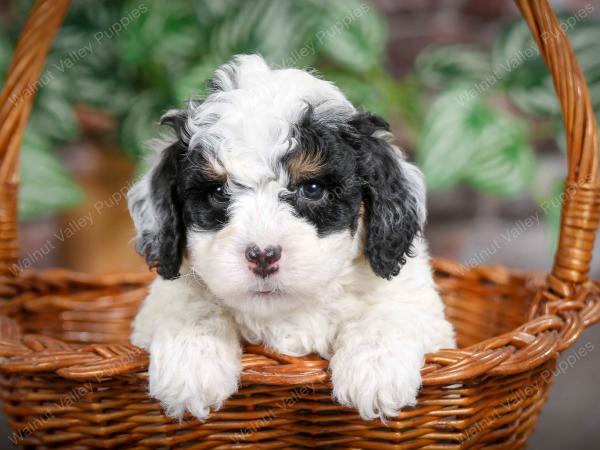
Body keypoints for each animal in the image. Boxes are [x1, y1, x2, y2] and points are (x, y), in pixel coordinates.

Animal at [127, 55, 454, 422]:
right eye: (217, 192)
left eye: (312, 188)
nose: (263, 255)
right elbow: (193, 305)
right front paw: (191, 366)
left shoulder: (416, 303)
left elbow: (387, 311)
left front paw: (375, 372)